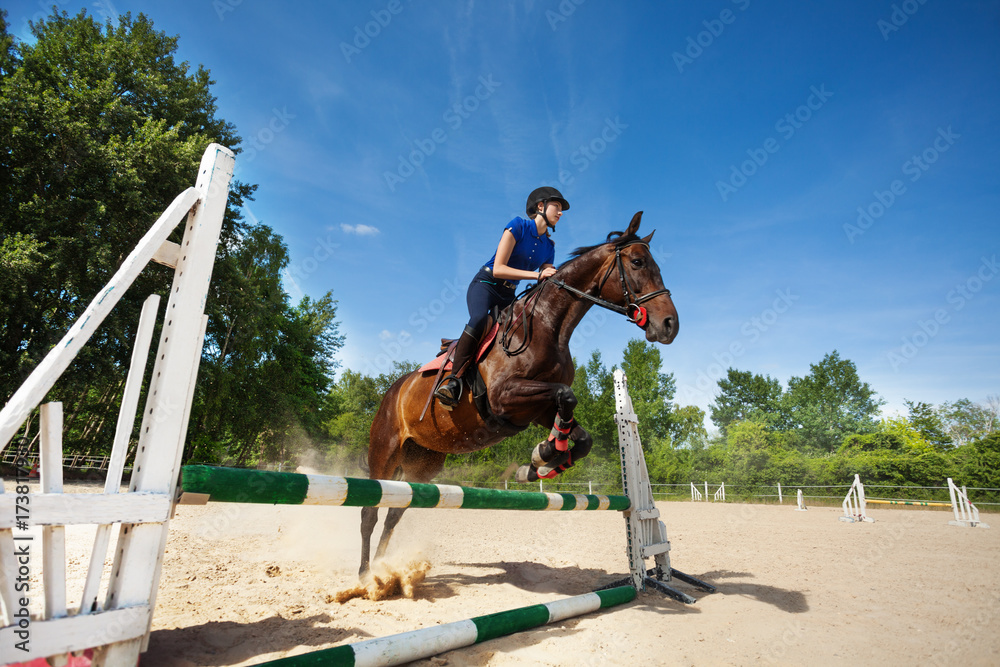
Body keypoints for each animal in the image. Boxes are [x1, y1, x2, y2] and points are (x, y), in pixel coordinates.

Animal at [362, 211, 680, 576]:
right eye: (638, 262)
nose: (670, 325)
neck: (548, 324)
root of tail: (392, 392)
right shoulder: (504, 397)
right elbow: (566, 395)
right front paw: (545, 453)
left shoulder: (535, 410)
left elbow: (580, 433)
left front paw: (540, 462)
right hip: (385, 450)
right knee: (370, 511)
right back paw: (364, 575)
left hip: (423, 463)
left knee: (394, 512)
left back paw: (383, 570)